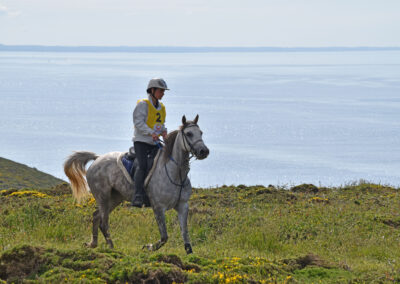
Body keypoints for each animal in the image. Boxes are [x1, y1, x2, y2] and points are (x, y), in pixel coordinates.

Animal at [62, 114, 209, 254]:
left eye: (201, 132)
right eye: (189, 134)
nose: (204, 151)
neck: (175, 173)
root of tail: (97, 158)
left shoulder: (183, 206)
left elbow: (185, 235)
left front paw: (190, 254)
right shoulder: (158, 207)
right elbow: (164, 237)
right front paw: (148, 247)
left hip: (115, 198)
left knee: (96, 216)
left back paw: (93, 244)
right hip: (102, 197)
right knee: (103, 222)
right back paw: (111, 248)